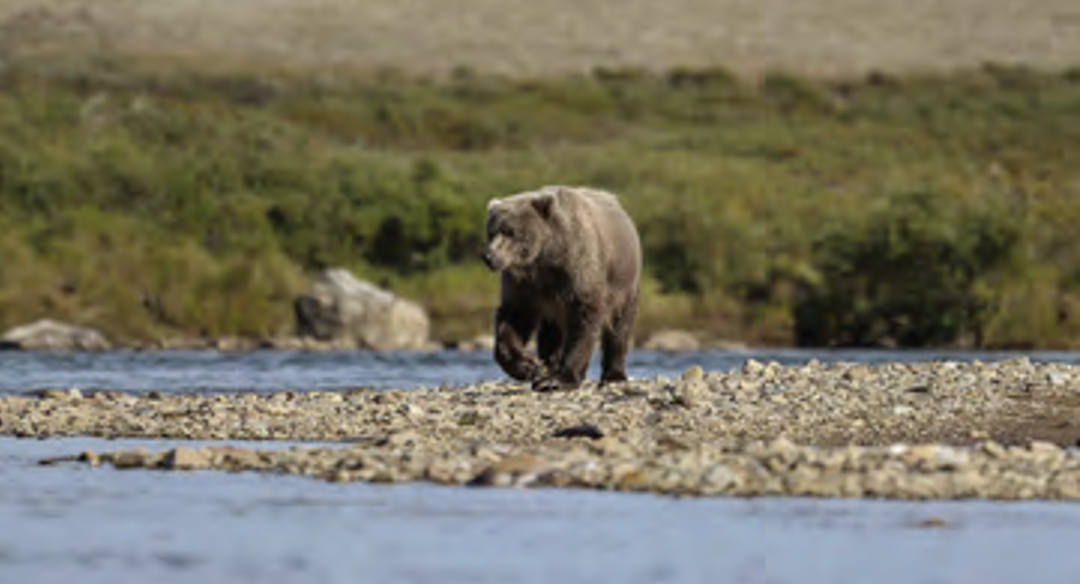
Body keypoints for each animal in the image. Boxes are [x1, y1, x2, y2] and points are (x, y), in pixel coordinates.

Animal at [483, 184, 639, 388]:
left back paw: (614, 374)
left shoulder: (578, 269)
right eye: (491, 233)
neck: (544, 259)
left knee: (620, 324)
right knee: (552, 330)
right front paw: (527, 366)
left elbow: (585, 317)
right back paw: (549, 365)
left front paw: (562, 377)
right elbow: (514, 316)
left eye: (511, 232)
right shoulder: (523, 283)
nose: (489, 257)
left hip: (623, 280)